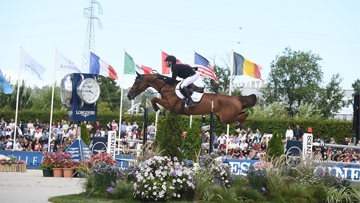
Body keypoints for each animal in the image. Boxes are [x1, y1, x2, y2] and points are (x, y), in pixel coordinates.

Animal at [126, 72, 256, 124]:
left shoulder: (171, 105)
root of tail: (236, 99)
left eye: (136, 82)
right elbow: (155, 100)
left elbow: (154, 100)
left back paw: (240, 127)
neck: (168, 88)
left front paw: (159, 111)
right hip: (222, 117)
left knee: (244, 115)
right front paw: (161, 112)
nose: (129, 95)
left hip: (226, 118)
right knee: (243, 114)